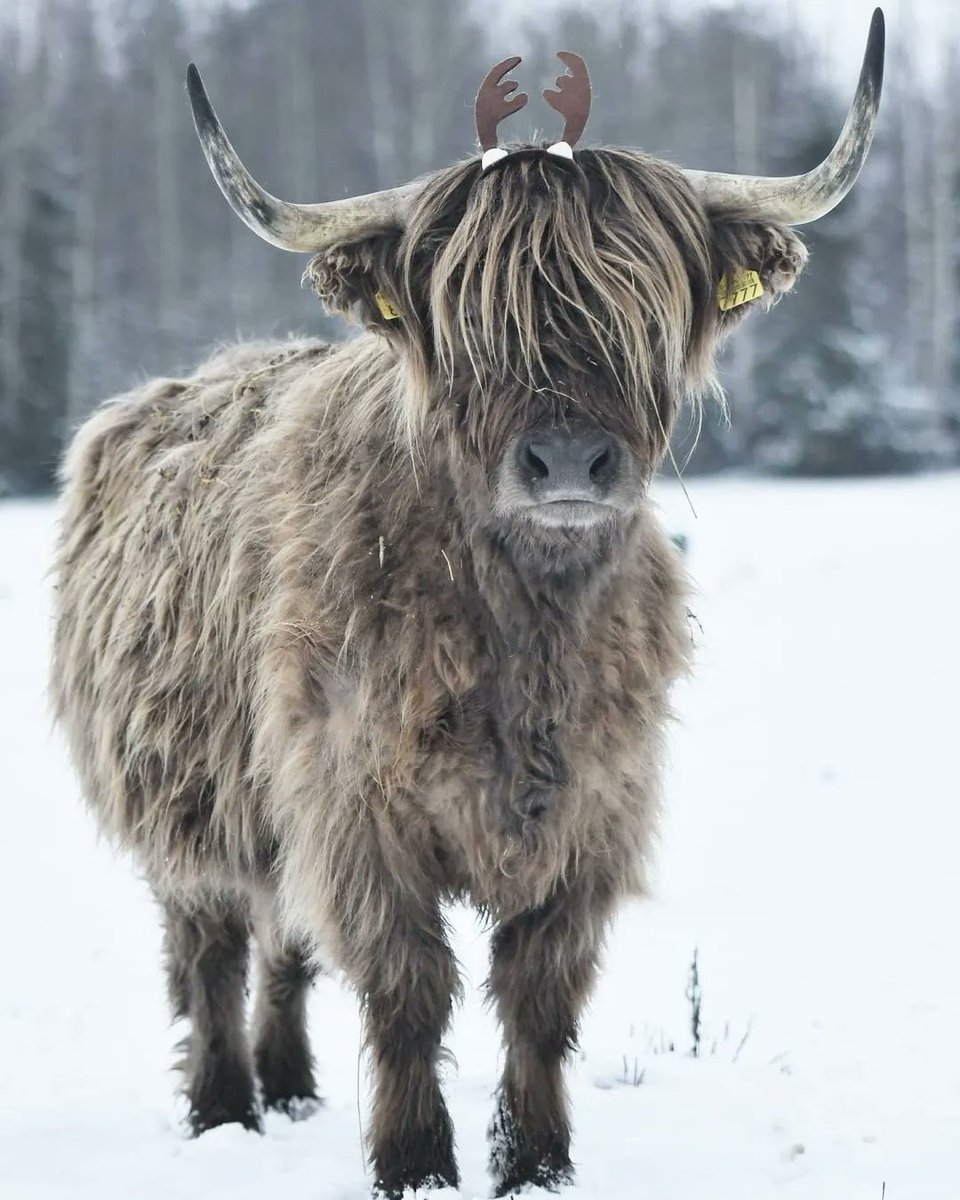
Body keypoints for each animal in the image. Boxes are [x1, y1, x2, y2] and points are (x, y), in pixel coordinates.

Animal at [51, 13, 883, 1198]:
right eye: (473, 319)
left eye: (640, 306)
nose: (569, 458)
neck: (522, 628)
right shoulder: (354, 805)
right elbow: (408, 989)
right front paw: (415, 1162)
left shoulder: (593, 807)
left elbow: (540, 995)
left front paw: (536, 1159)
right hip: (184, 795)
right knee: (210, 945)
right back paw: (223, 1108)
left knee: (285, 943)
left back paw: (290, 1085)